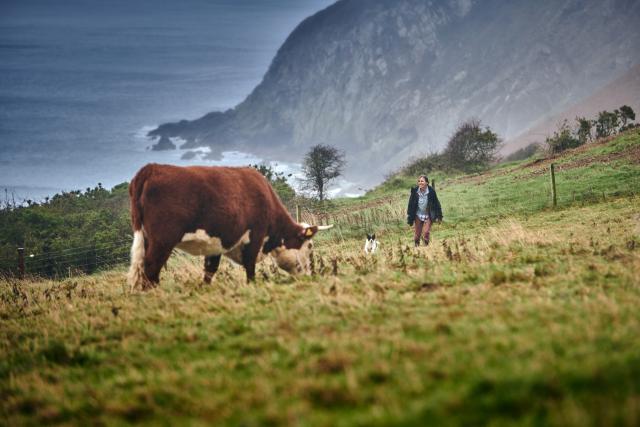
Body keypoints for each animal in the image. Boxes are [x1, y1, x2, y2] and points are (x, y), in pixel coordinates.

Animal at [127, 163, 322, 290]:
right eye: (310, 245)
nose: (311, 275)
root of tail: (151, 168)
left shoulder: (215, 244)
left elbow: (210, 269)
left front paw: (204, 288)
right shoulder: (255, 236)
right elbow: (250, 265)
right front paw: (252, 285)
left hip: (146, 237)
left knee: (142, 266)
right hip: (163, 240)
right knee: (151, 266)